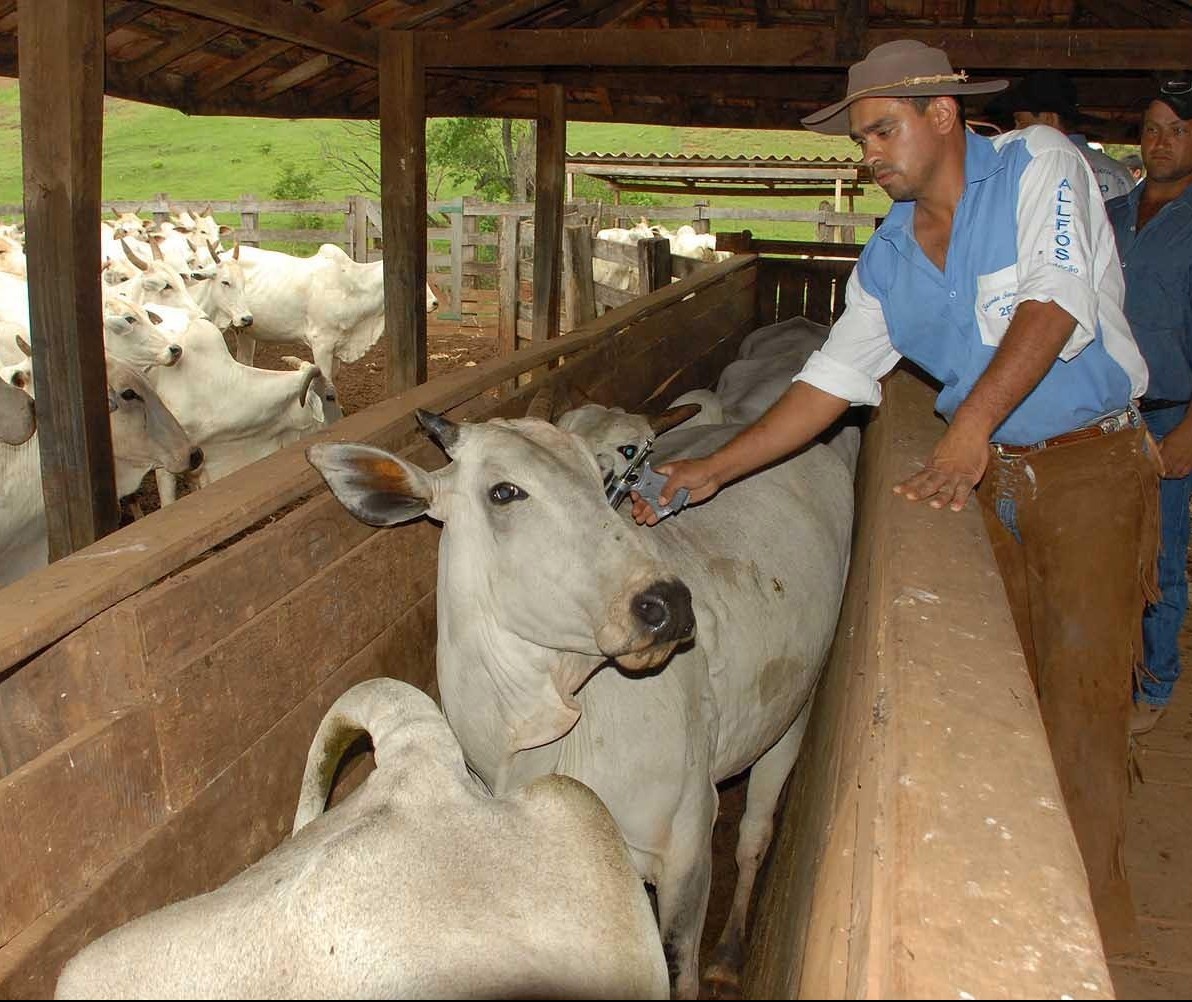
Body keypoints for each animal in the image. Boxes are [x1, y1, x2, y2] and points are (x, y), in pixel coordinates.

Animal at [302, 400, 853, 1000]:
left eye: (599, 476)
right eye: (504, 492)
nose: (668, 604)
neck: (525, 743)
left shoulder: (687, 843)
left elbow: (679, 966)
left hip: (794, 709)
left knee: (754, 834)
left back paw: (730, 952)